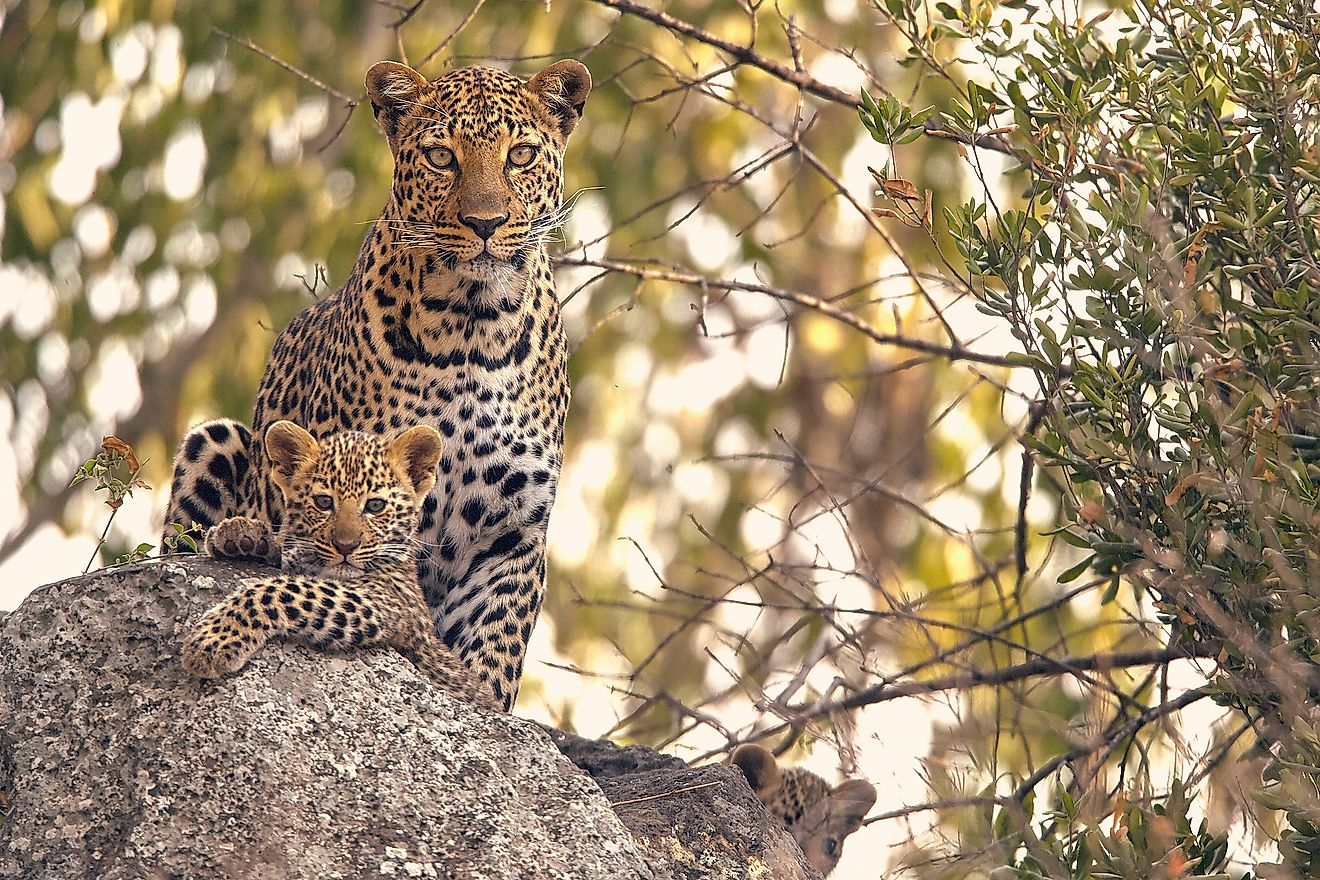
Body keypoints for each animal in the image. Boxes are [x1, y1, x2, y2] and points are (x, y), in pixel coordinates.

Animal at [162, 58, 591, 712]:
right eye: (441, 156)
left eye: (520, 155)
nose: (486, 223)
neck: (475, 327)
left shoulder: (513, 529)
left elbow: (493, 643)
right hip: (216, 438)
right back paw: (242, 535)